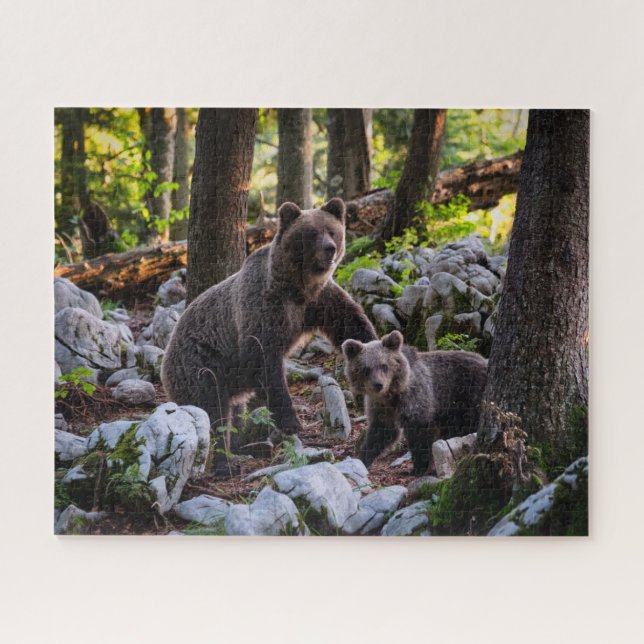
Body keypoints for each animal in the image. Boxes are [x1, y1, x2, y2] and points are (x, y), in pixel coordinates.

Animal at [161, 198, 377, 458]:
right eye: (311, 233)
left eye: (332, 231)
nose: (330, 248)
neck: (297, 288)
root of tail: (167, 353)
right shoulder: (264, 308)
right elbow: (264, 359)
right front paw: (291, 421)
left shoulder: (320, 301)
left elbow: (351, 324)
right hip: (201, 365)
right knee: (212, 411)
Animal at [342, 330, 487, 476]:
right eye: (366, 369)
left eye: (384, 366)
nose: (378, 384)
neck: (391, 395)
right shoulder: (381, 407)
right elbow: (381, 433)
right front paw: (362, 459)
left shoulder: (416, 398)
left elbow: (419, 433)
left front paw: (417, 468)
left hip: (468, 396)